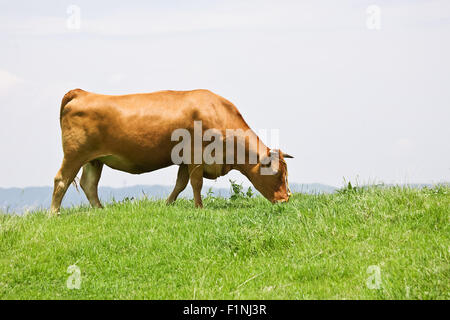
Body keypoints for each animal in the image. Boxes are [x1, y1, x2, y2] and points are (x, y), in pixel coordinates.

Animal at [51, 88, 294, 215]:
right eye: (277, 173)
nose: (285, 200)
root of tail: (82, 93)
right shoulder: (196, 154)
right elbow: (196, 182)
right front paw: (199, 207)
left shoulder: (185, 160)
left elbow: (180, 184)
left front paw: (168, 204)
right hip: (74, 154)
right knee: (62, 180)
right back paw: (54, 213)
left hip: (94, 160)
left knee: (89, 184)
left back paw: (101, 210)